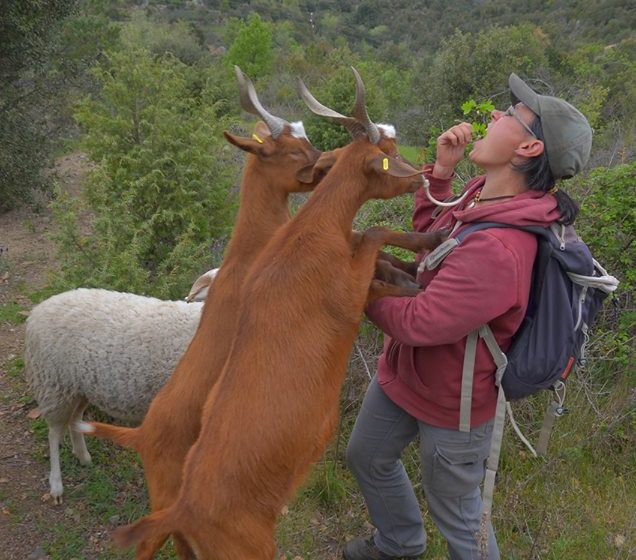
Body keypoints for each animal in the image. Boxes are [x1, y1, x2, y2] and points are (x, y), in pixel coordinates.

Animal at [24, 270, 217, 504]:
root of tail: (39, 308)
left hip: (80, 387)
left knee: (75, 419)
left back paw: (83, 456)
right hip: (54, 384)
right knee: (53, 434)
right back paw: (56, 486)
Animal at [109, 68, 448, 556]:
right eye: (388, 152)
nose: (423, 175)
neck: (309, 232)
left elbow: (376, 248)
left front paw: (421, 259)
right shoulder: (348, 296)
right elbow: (373, 235)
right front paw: (424, 258)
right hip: (246, 546)